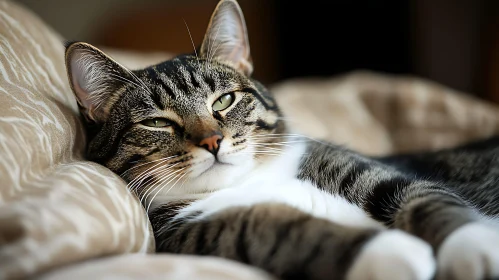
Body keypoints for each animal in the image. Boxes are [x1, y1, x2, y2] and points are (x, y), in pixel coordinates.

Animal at [64, 0, 499, 280]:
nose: (212, 141)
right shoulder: (194, 230)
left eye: (224, 100)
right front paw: (390, 251)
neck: (248, 180)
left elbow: (423, 197)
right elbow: (283, 231)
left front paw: (473, 246)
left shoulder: (356, 168)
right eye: (158, 122)